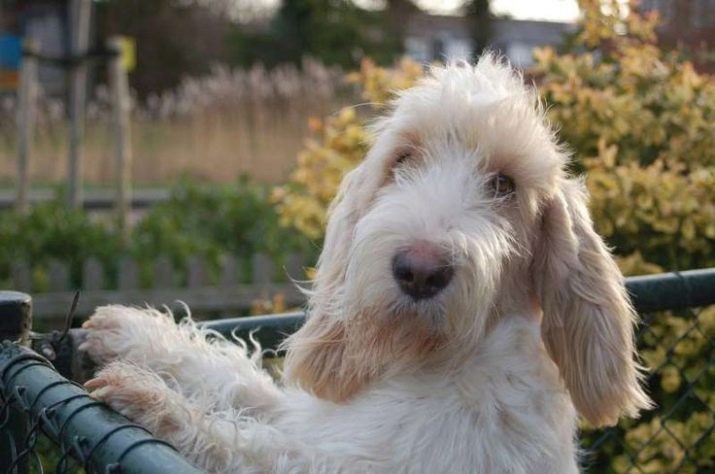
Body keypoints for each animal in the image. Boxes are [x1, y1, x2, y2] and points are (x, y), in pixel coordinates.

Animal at [80, 56, 651, 473]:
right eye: (403, 160)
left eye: (504, 184)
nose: (419, 270)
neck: (433, 364)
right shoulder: (309, 417)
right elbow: (240, 383)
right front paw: (132, 334)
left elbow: (251, 447)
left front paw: (152, 401)